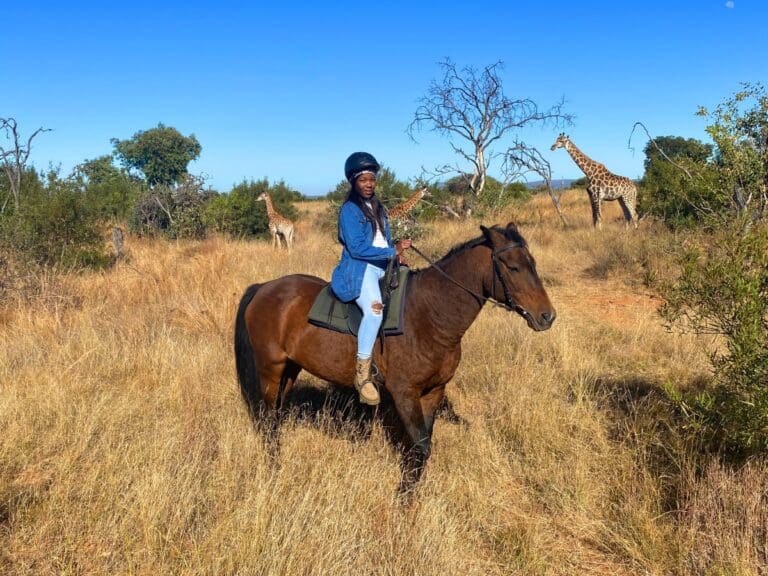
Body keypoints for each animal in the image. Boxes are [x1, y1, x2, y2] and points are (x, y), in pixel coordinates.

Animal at [231, 223, 556, 492]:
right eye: (513, 267)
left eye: (533, 264)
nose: (547, 316)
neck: (430, 313)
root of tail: (263, 288)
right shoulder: (404, 393)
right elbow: (420, 446)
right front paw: (405, 500)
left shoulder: (433, 392)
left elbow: (424, 443)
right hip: (270, 370)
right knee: (266, 419)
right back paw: (274, 468)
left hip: (290, 369)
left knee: (276, 415)